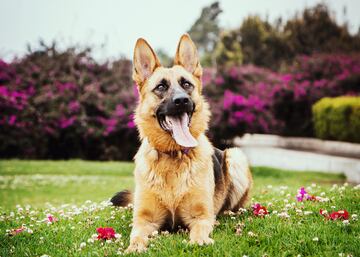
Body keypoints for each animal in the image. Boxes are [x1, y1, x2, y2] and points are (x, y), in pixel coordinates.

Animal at [111, 34, 252, 252]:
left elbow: (200, 230)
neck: (173, 155)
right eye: (161, 87)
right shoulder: (144, 220)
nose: (181, 100)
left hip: (236, 156)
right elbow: (136, 236)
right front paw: (134, 247)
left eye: (187, 84)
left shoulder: (201, 217)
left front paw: (199, 241)